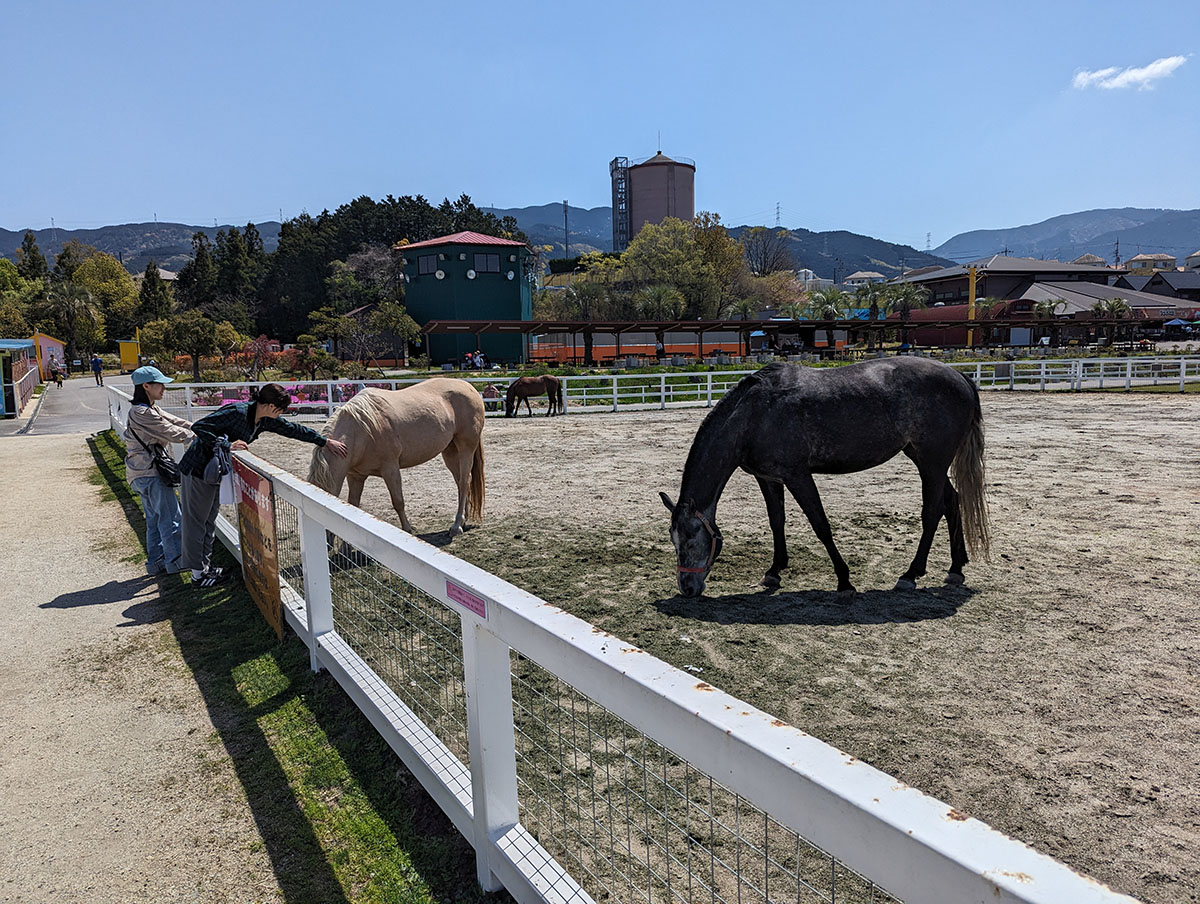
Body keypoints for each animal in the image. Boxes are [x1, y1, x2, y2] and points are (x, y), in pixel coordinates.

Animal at [308, 379, 485, 538]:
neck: (361, 429)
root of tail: (469, 387)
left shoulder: (390, 469)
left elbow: (398, 501)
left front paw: (407, 530)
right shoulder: (355, 476)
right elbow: (354, 504)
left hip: (466, 448)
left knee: (464, 482)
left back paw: (456, 526)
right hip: (450, 451)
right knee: (462, 483)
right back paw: (463, 521)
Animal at [660, 358, 990, 598]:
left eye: (690, 539)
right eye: (673, 540)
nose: (687, 589)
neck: (754, 414)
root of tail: (960, 376)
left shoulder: (798, 475)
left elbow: (820, 524)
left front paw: (844, 581)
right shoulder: (769, 478)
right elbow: (776, 521)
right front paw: (774, 571)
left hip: (932, 463)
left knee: (933, 512)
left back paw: (910, 575)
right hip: (924, 460)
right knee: (952, 502)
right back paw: (955, 568)